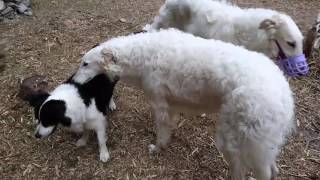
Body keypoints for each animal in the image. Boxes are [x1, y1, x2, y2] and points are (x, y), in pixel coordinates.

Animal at [72, 28, 296, 179]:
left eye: (85, 63)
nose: (72, 80)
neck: (143, 55)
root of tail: (284, 94)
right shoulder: (170, 106)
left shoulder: (159, 104)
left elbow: (161, 134)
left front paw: (156, 149)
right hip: (262, 148)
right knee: (273, 169)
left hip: (234, 142)